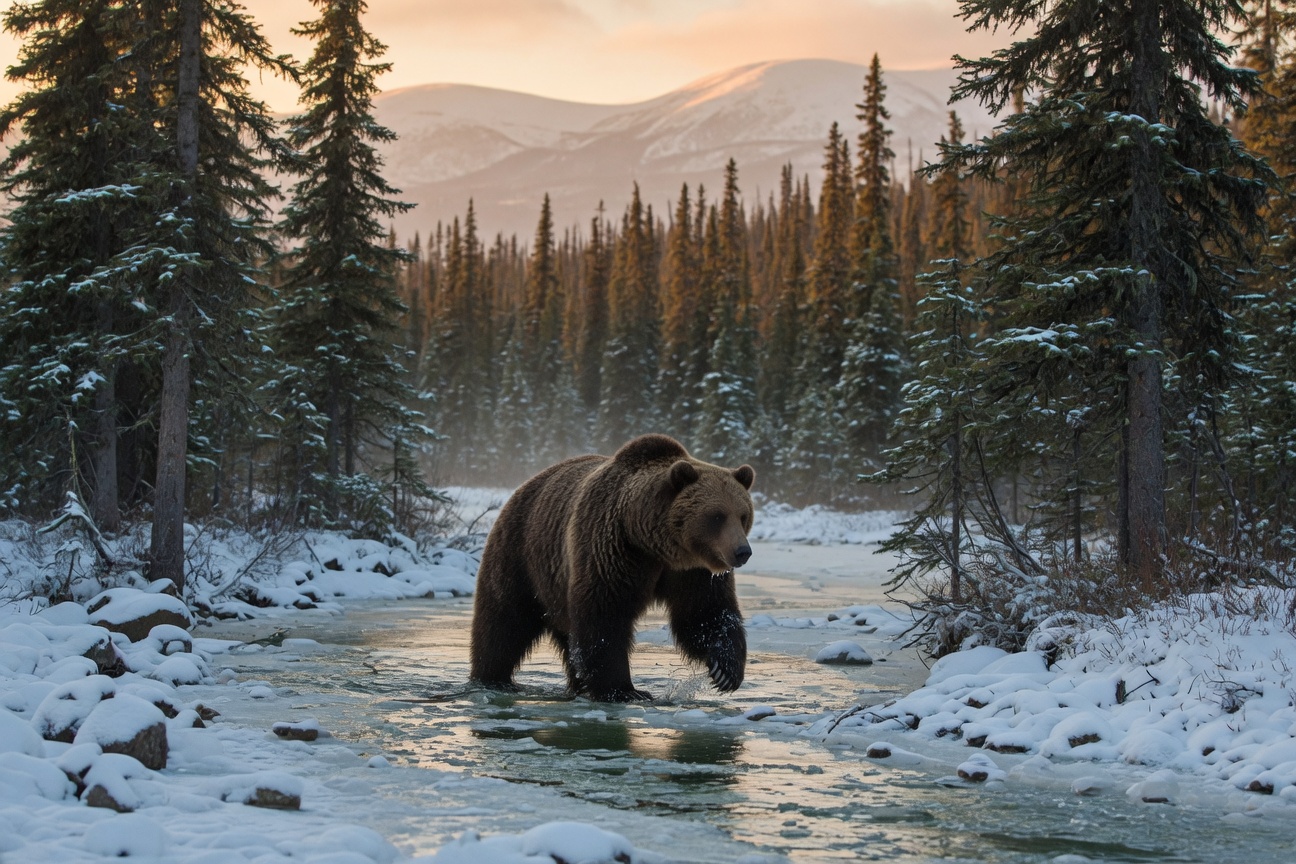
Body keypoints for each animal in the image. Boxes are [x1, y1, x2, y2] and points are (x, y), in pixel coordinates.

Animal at [469, 433, 755, 702]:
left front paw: (725, 671)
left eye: (743, 515)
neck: (653, 544)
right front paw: (623, 690)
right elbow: (604, 617)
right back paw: (491, 678)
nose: (743, 551)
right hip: (522, 555)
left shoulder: (693, 572)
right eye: (717, 516)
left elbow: (705, 613)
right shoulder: (611, 550)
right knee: (504, 622)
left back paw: (578, 686)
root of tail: (522, 487)